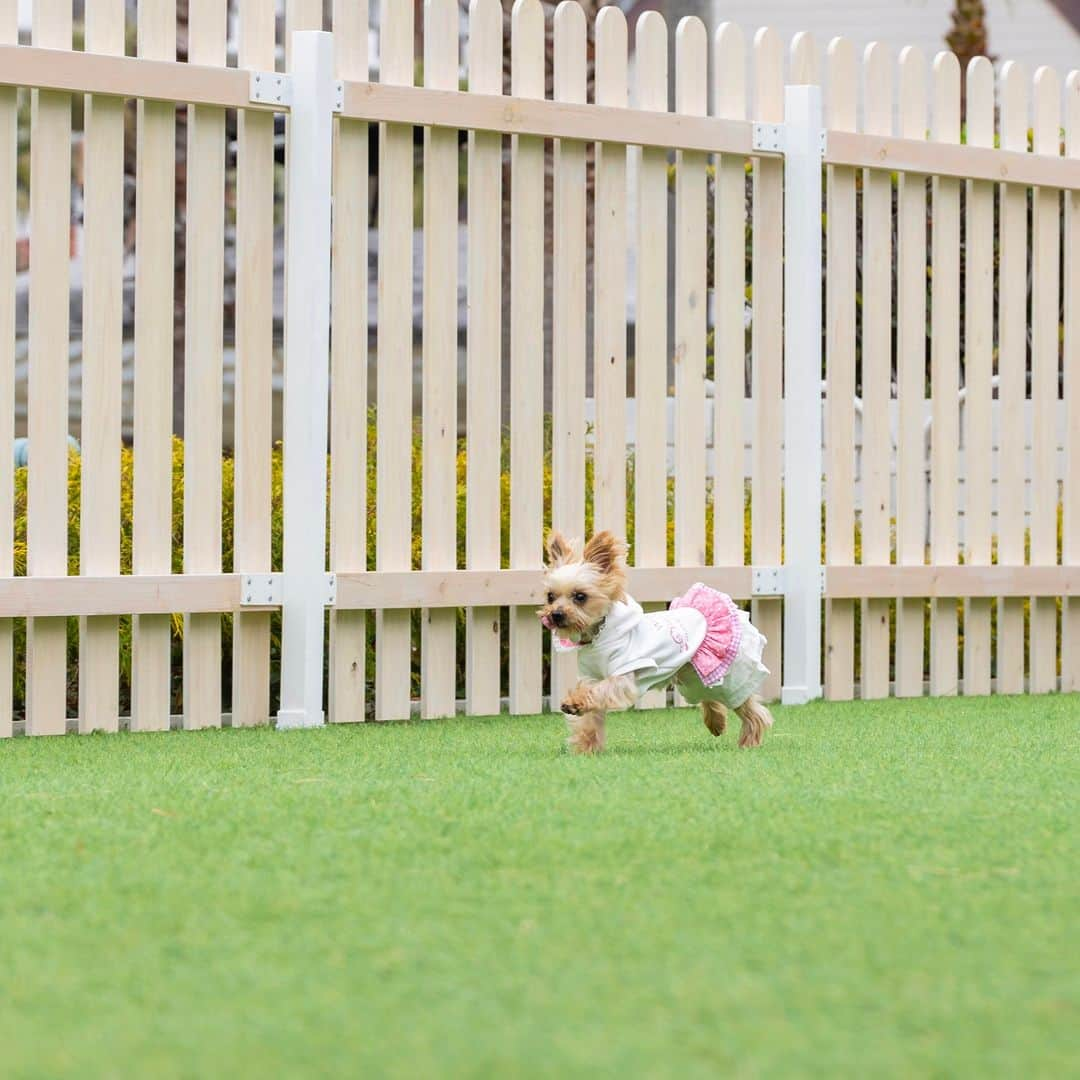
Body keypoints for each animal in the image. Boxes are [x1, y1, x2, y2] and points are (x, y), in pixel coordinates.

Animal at [535, 529, 773, 751]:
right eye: (550, 596)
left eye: (580, 597)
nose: (556, 614)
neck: (598, 635)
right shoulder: (590, 676)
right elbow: (590, 719)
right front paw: (586, 748)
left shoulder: (623, 676)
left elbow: (600, 691)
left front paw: (574, 703)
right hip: (693, 675)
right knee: (709, 694)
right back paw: (717, 723)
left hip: (729, 672)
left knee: (748, 705)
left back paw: (750, 739)